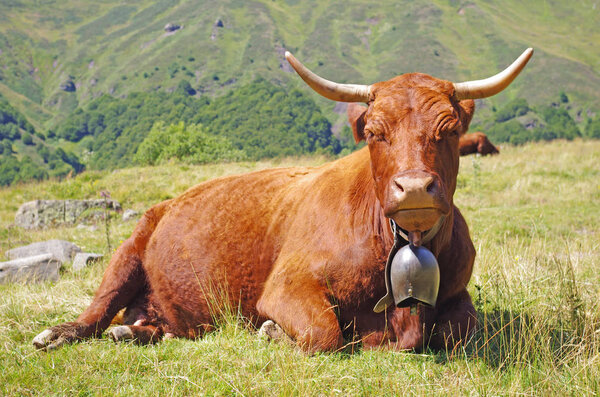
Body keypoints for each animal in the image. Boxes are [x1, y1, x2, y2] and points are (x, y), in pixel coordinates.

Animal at [32, 47, 532, 352]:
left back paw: (134, 333)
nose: (413, 187)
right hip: (127, 250)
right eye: (375, 132)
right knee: (96, 311)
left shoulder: (459, 292)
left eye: (449, 130)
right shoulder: (287, 284)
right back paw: (60, 334)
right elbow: (324, 332)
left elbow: (459, 329)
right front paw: (272, 331)